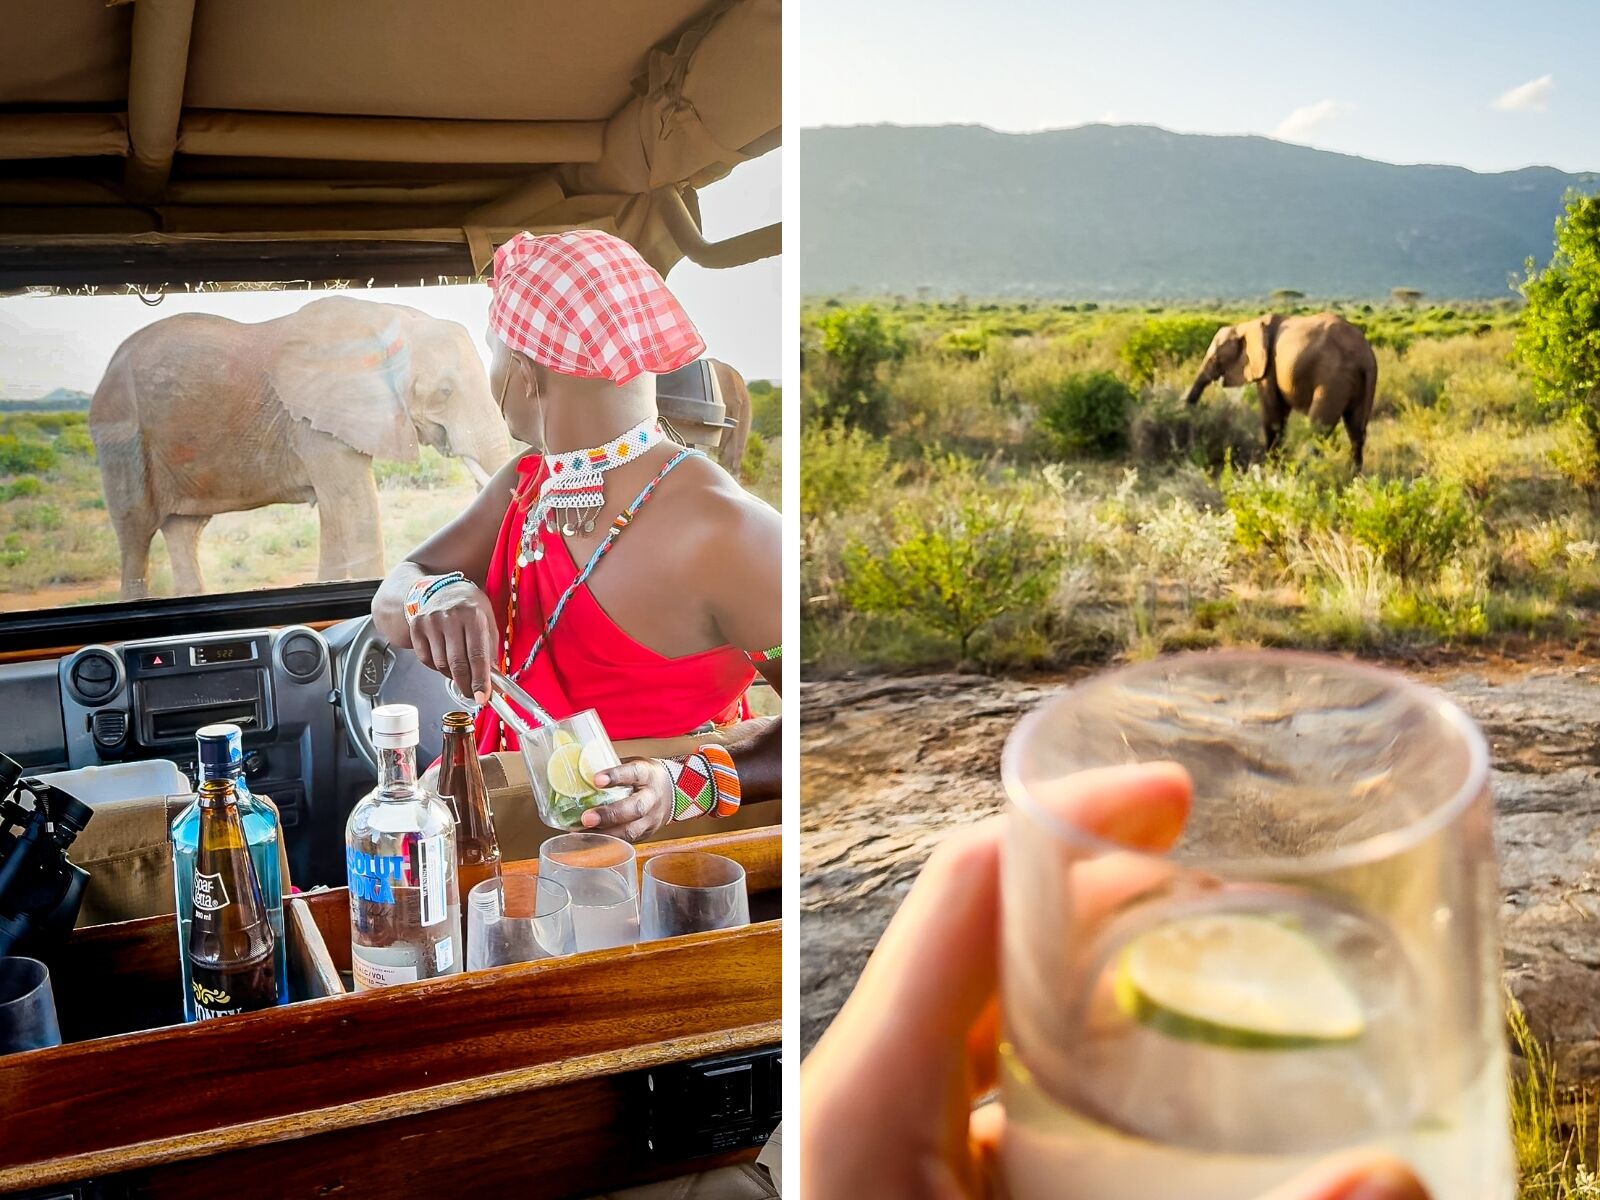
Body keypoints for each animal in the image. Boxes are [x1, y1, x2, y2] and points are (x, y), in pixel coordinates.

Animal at [90, 299, 512, 598]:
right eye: (444, 391)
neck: (392, 319)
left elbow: (335, 513)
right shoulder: (317, 423)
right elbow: (354, 506)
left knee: (183, 530)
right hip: (123, 432)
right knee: (135, 533)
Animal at [1190, 310, 1376, 470]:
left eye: (1216, 358)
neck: (1246, 326)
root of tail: (1364, 355)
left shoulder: (1268, 367)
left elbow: (1272, 414)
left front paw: (1270, 467)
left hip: (1333, 377)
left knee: (1317, 429)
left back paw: (1301, 473)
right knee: (1356, 431)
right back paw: (1352, 477)